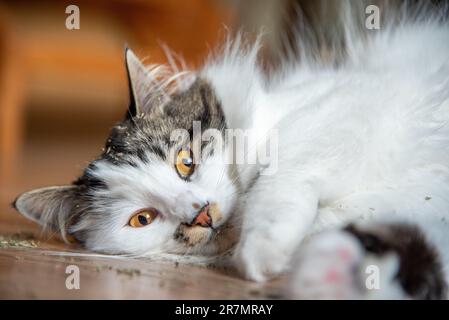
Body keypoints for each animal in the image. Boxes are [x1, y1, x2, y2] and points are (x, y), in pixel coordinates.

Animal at [12, 1, 448, 298]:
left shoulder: (351, 103)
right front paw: (323, 270)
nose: (202, 214)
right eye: (142, 219)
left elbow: (277, 181)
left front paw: (263, 250)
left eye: (185, 162)